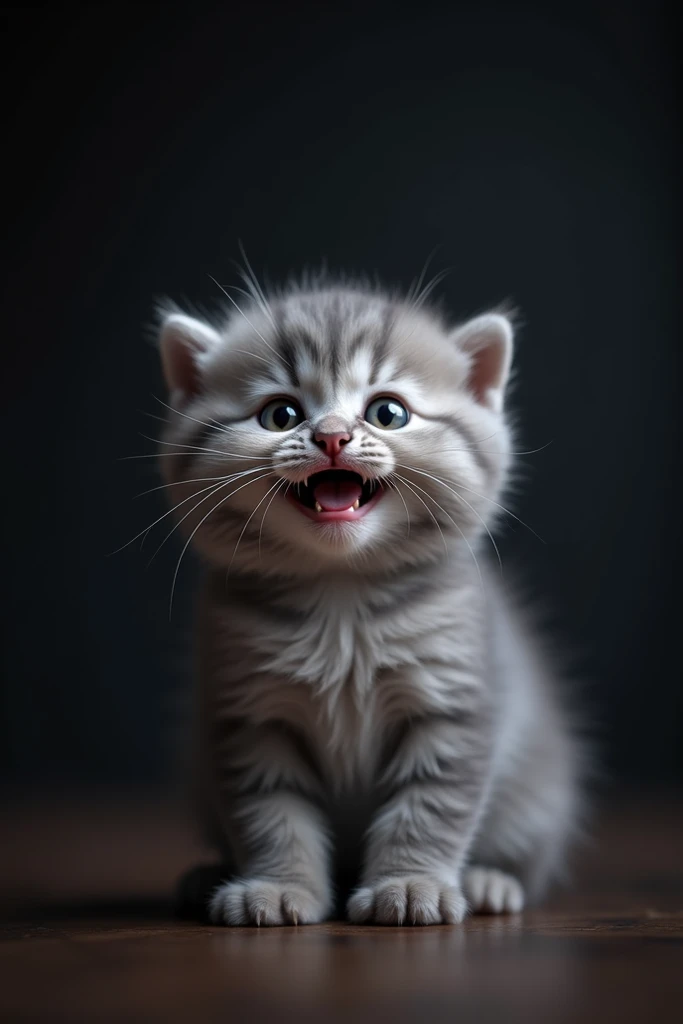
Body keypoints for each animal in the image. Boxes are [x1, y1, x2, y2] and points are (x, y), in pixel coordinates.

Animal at [153, 274, 581, 929]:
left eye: (388, 412)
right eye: (281, 414)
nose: (332, 436)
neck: (341, 591)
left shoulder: (452, 704)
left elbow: (429, 806)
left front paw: (408, 884)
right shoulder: (248, 715)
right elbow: (269, 813)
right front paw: (276, 886)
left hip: (536, 795)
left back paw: (488, 881)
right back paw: (205, 875)